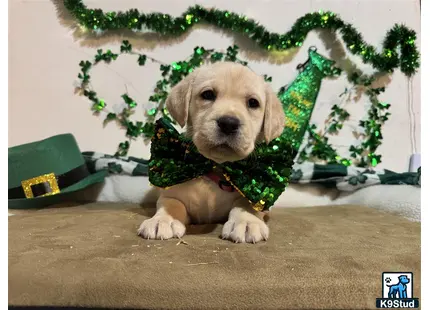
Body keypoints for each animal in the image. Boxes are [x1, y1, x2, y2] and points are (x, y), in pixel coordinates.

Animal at [138, 61, 286, 242]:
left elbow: (246, 204)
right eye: (208, 94)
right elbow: (171, 204)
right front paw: (163, 220)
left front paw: (247, 222)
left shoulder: (256, 199)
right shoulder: (171, 195)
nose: (228, 123)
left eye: (253, 103)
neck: (215, 166)